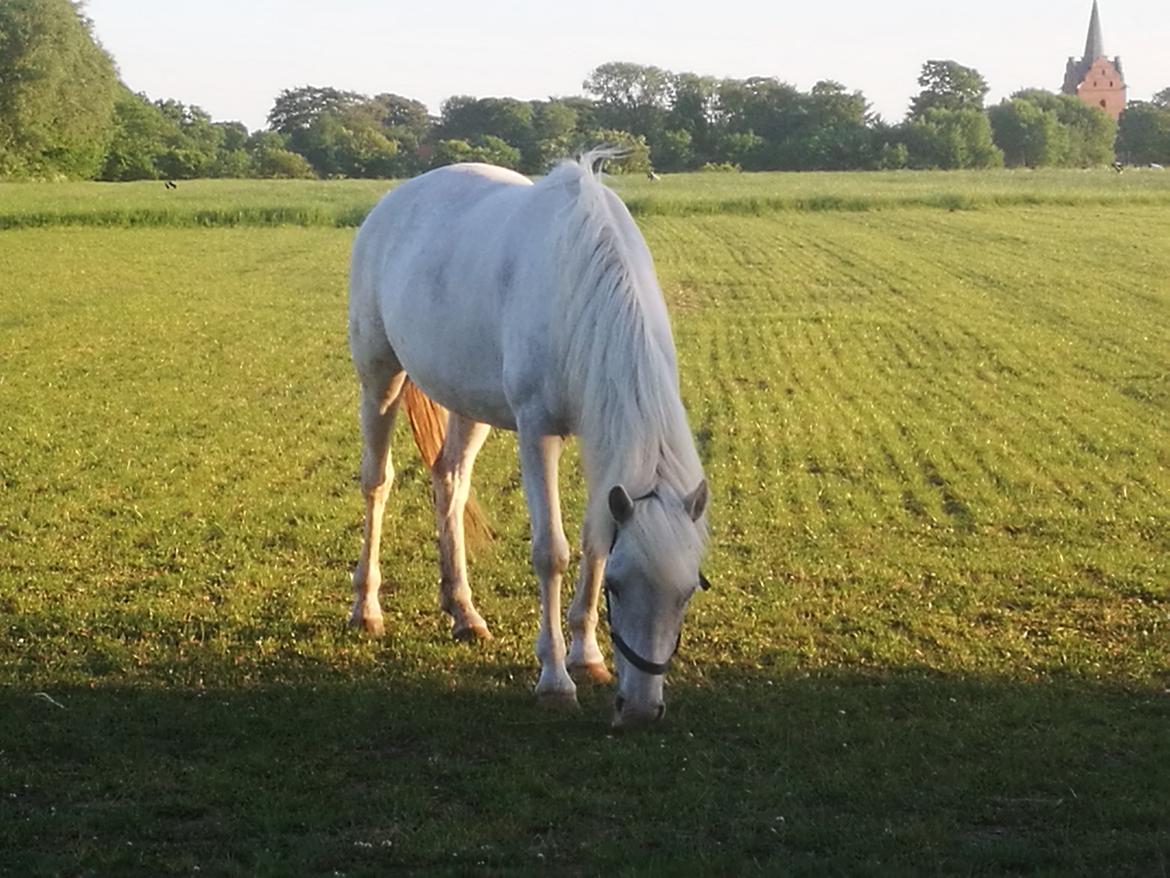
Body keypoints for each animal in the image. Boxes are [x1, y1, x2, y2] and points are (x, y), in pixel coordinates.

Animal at [346, 151, 706, 730]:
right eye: (619, 586)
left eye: (688, 589)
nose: (640, 711)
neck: (582, 282)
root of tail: (391, 203)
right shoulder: (539, 432)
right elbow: (550, 552)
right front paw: (556, 679)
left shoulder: (596, 438)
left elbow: (594, 540)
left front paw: (588, 656)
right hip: (379, 375)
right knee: (377, 482)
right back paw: (366, 608)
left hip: (469, 401)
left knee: (450, 481)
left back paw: (463, 611)